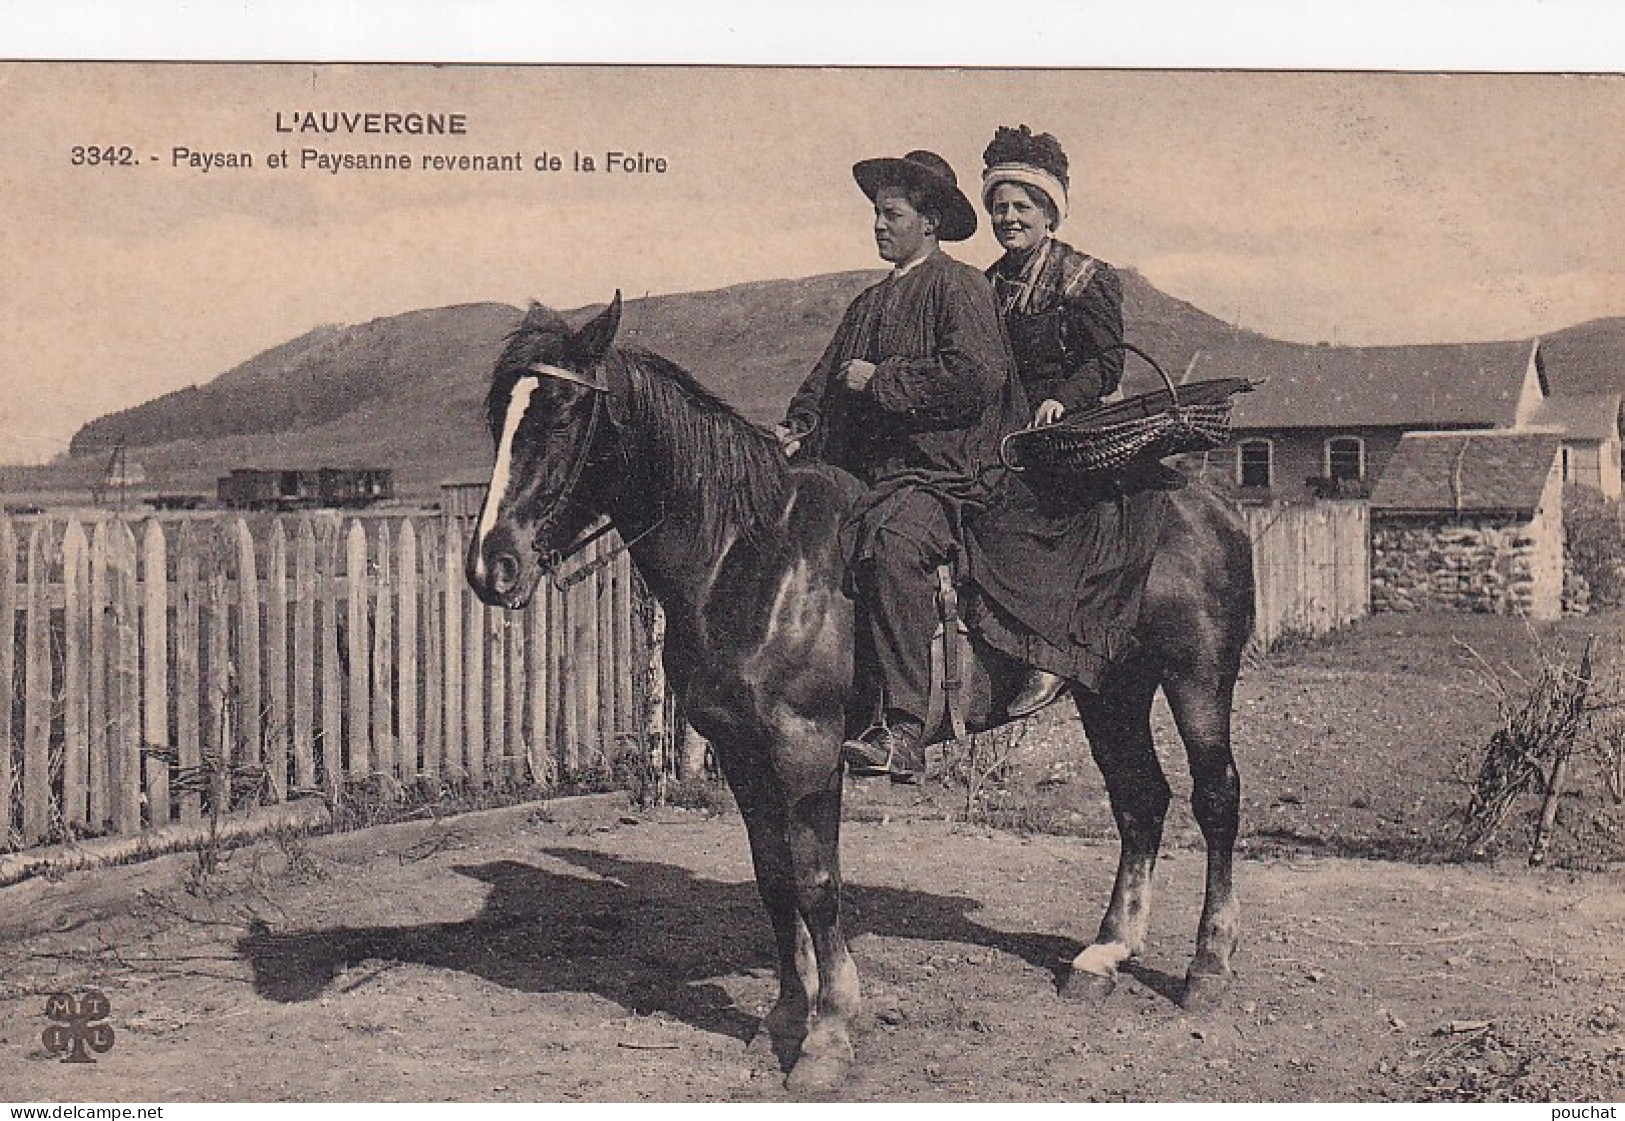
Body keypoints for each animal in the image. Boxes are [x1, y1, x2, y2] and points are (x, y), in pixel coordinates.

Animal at [468, 292, 1254, 1085]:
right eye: (500, 416)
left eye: (563, 411)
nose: (491, 566)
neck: (750, 558)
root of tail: (1204, 494)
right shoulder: (742, 753)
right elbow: (775, 880)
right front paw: (786, 1014)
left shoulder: (807, 748)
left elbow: (818, 882)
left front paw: (829, 1033)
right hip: (1110, 691)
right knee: (1139, 802)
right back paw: (1103, 956)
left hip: (1196, 677)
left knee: (1215, 798)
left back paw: (1209, 969)